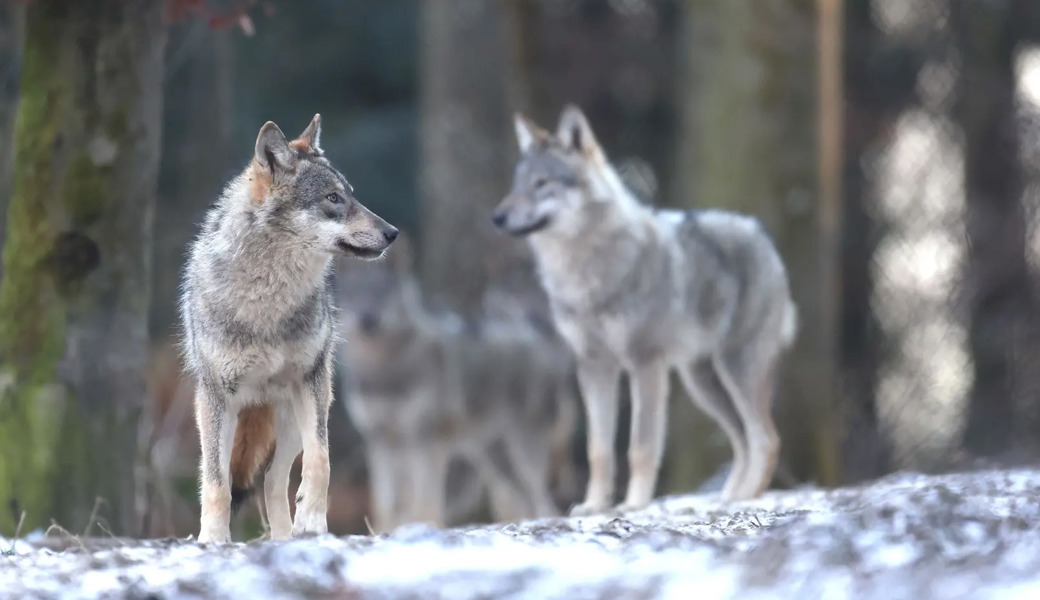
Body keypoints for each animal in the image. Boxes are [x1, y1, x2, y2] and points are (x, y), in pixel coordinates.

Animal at [179, 113, 397, 540]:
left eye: (351, 195)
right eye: (332, 198)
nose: (392, 232)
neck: (269, 301)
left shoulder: (311, 382)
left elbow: (321, 460)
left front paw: (312, 521)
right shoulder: (214, 397)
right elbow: (216, 483)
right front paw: (212, 539)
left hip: (294, 417)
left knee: (273, 483)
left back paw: (286, 535)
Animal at [334, 236, 578, 530]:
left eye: (382, 292)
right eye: (354, 293)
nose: (368, 319)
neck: (383, 371)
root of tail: (540, 336)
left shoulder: (425, 442)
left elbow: (423, 505)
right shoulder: (380, 443)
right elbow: (385, 507)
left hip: (520, 453)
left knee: (543, 500)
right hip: (493, 460)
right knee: (527, 503)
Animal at [488, 106, 794, 515]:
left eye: (542, 183)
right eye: (517, 184)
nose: (497, 217)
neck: (585, 269)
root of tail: (758, 230)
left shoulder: (645, 364)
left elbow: (640, 447)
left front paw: (633, 504)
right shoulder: (594, 367)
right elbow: (599, 449)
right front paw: (594, 506)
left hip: (735, 370)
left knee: (766, 438)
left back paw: (745, 497)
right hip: (702, 384)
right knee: (744, 438)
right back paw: (729, 496)